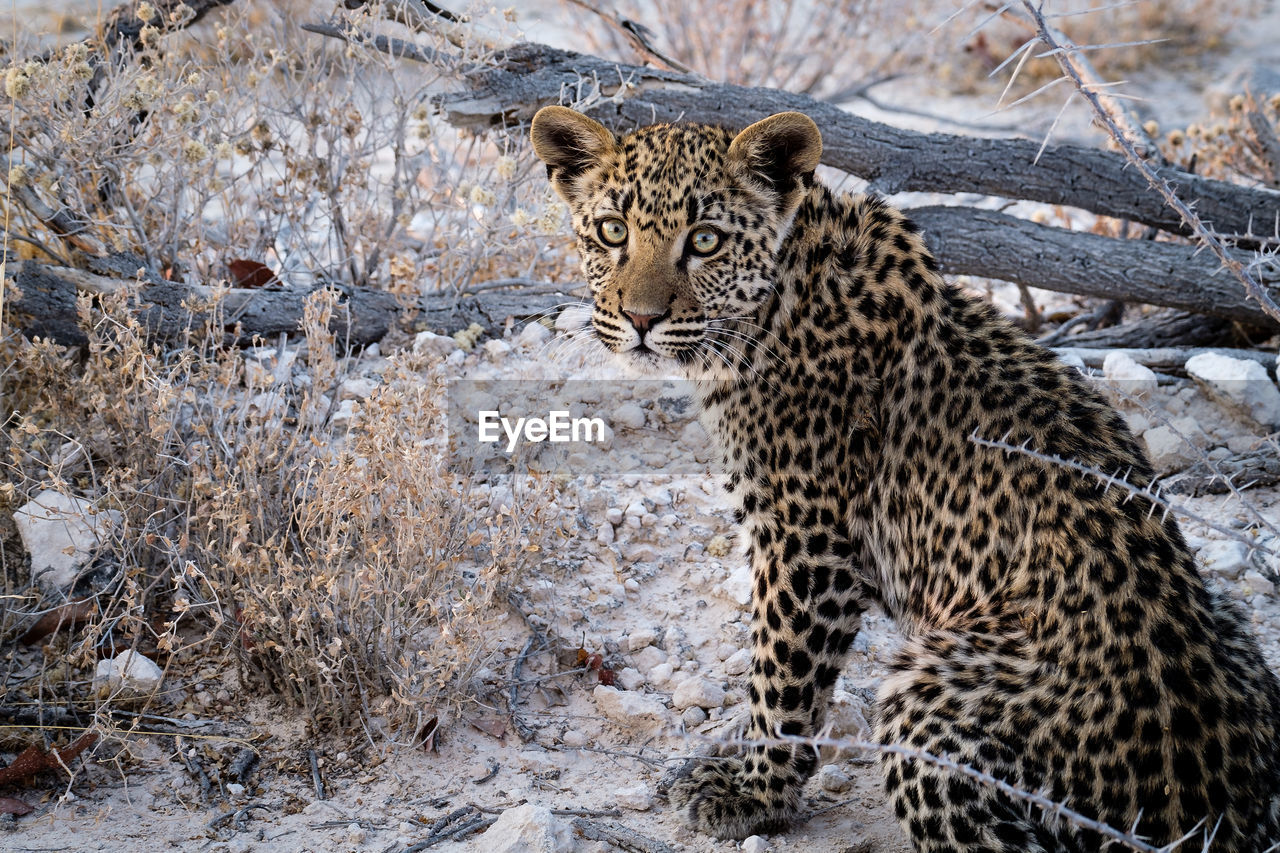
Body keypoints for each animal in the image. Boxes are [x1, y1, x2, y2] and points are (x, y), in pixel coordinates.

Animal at [527, 108, 1280, 850]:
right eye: (612, 231)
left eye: (705, 240)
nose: (641, 320)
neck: (778, 300)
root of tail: (1228, 813)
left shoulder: (807, 541)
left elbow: (781, 678)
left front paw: (752, 792)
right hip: (1233, 622)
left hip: (928, 701)